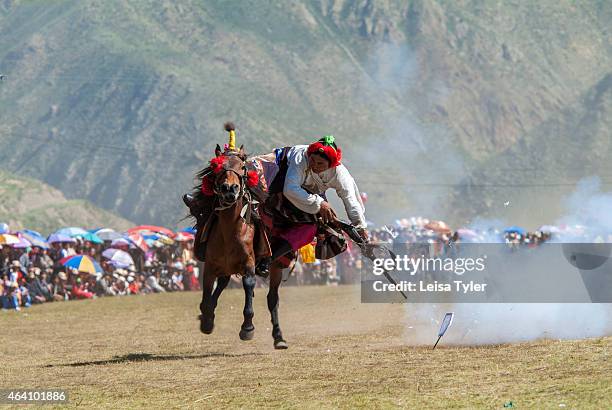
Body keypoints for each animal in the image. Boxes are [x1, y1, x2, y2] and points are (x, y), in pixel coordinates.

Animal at [198, 143, 290, 348]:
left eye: (242, 167)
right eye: (217, 167)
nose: (229, 189)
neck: (230, 232)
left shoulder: (248, 264)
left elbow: (248, 285)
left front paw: (247, 328)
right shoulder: (210, 267)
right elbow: (207, 296)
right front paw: (207, 321)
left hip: (276, 267)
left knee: (273, 299)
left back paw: (279, 337)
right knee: (222, 283)